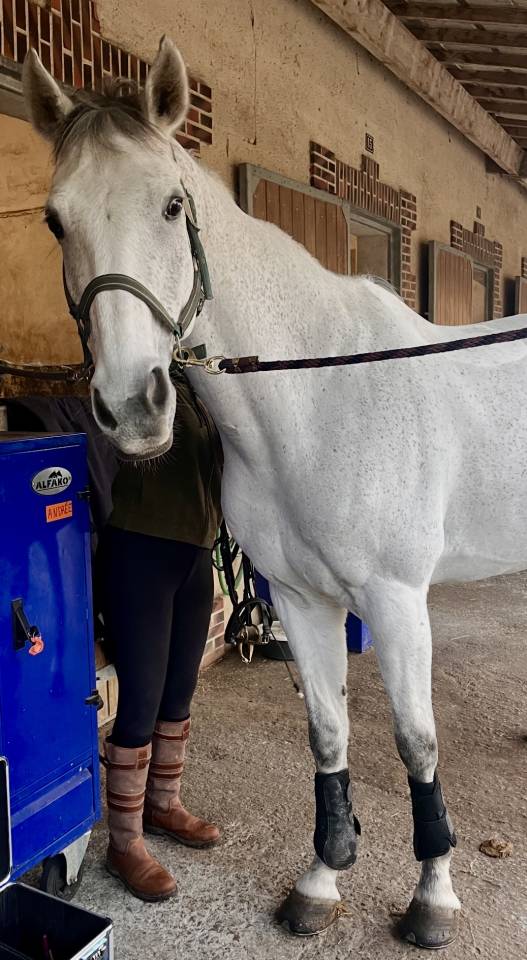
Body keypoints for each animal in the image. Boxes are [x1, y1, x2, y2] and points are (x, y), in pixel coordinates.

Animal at [23, 37, 527, 950]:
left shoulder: (395, 600)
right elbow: (328, 735)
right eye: (54, 220)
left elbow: (416, 743)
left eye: (171, 206)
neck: (319, 399)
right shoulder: (297, 597)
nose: (133, 405)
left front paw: (432, 898)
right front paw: (320, 882)